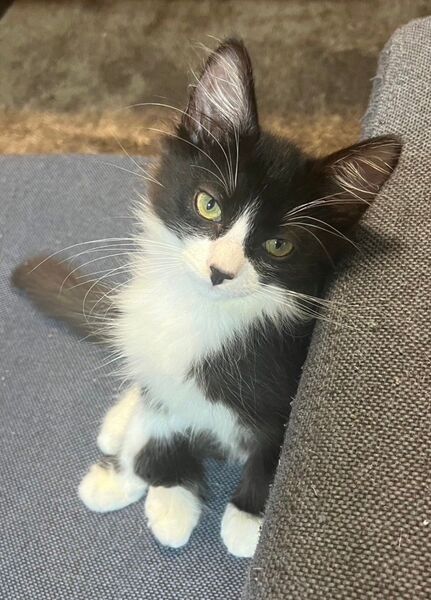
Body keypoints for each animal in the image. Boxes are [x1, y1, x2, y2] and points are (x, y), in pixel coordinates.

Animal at [12, 38, 401, 558]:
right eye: (208, 204)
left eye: (279, 245)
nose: (220, 271)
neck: (199, 313)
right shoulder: (163, 362)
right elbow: (160, 412)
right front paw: (168, 488)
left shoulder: (284, 373)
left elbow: (273, 446)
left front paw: (246, 519)